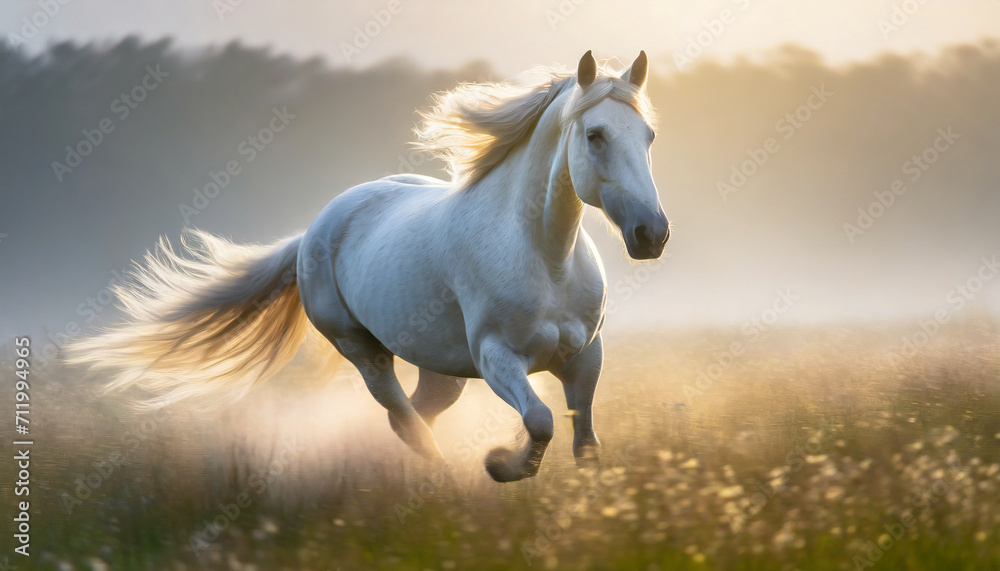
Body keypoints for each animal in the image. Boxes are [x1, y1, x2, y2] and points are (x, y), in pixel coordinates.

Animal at [66, 50, 669, 482]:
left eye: (648, 136)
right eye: (594, 135)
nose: (652, 234)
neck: (546, 259)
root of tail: (315, 229)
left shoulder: (585, 356)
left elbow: (586, 441)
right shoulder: (498, 357)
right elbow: (540, 421)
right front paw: (501, 465)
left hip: (440, 367)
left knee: (416, 417)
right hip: (364, 352)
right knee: (405, 422)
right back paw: (443, 483)